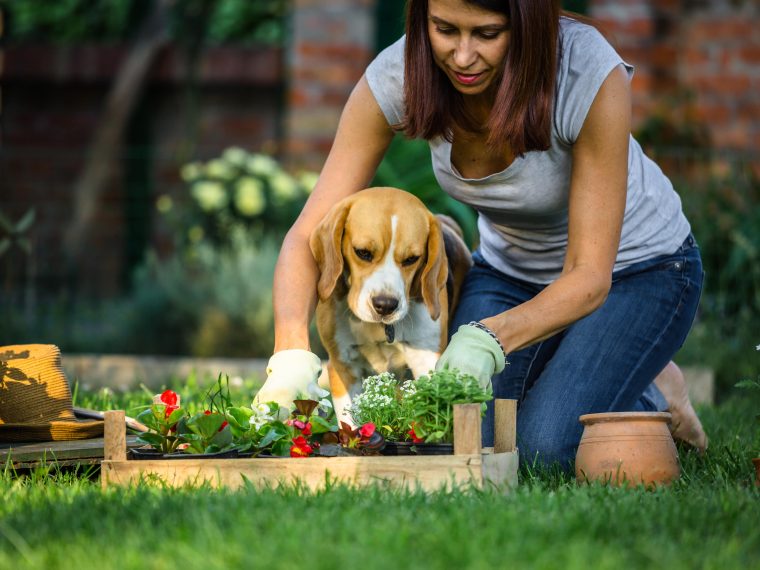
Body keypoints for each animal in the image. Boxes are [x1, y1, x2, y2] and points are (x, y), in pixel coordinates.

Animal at [308, 186, 470, 422]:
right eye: (362, 252)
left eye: (412, 259)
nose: (385, 305)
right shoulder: (342, 366)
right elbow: (351, 422)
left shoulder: (426, 361)